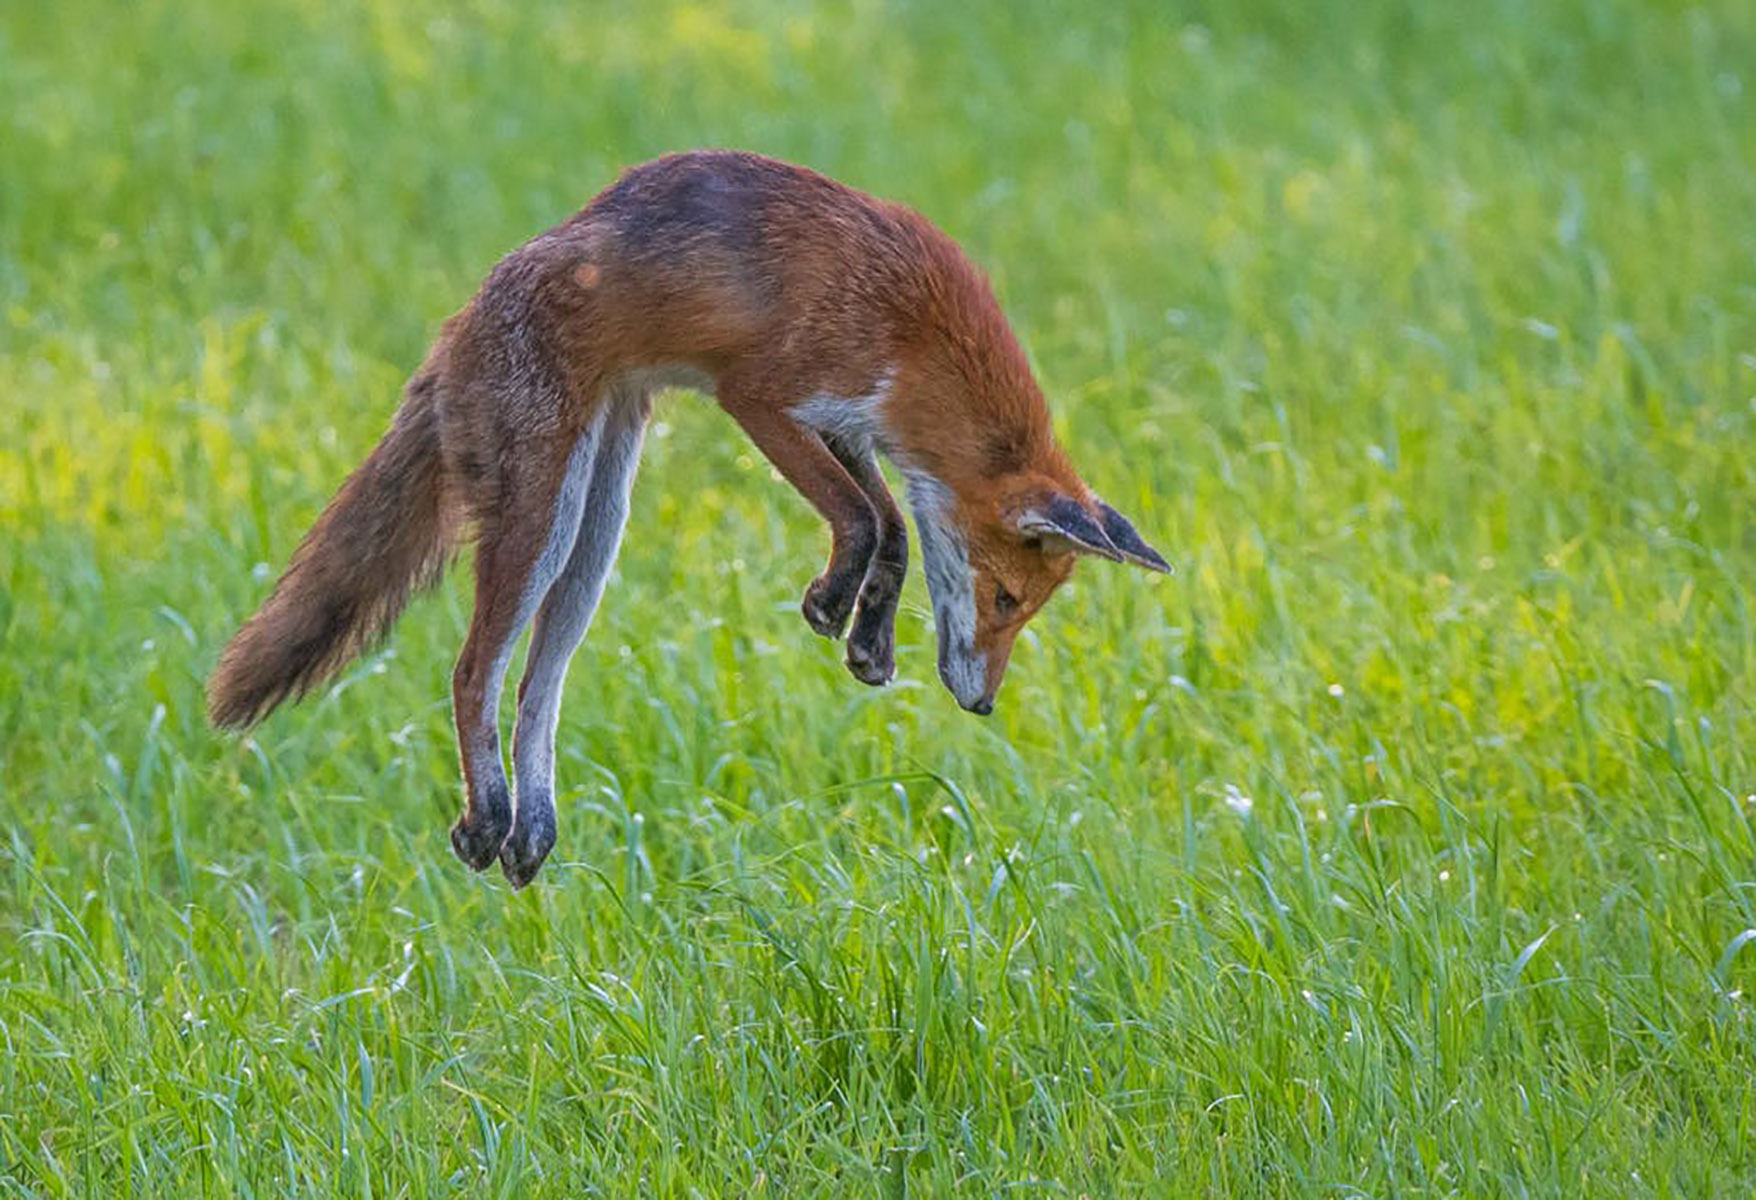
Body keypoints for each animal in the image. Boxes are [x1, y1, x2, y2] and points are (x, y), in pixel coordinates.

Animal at [208, 150, 1170, 887]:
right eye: (1006, 602)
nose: (982, 705)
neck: (913, 330)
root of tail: (462, 315)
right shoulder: (764, 396)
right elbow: (862, 517)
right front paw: (835, 604)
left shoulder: (845, 426)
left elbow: (892, 526)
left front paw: (867, 635)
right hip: (544, 513)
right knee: (472, 668)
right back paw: (487, 818)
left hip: (597, 524)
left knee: (535, 682)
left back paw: (530, 826)